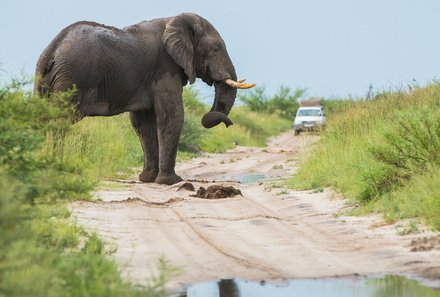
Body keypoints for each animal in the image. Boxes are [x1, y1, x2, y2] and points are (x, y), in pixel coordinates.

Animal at [35, 13, 254, 185]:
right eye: (216, 49)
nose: (229, 125)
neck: (174, 21)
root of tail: (52, 49)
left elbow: (143, 123)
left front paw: (147, 179)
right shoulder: (165, 68)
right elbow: (172, 115)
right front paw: (171, 182)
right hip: (74, 77)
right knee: (60, 121)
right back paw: (57, 166)